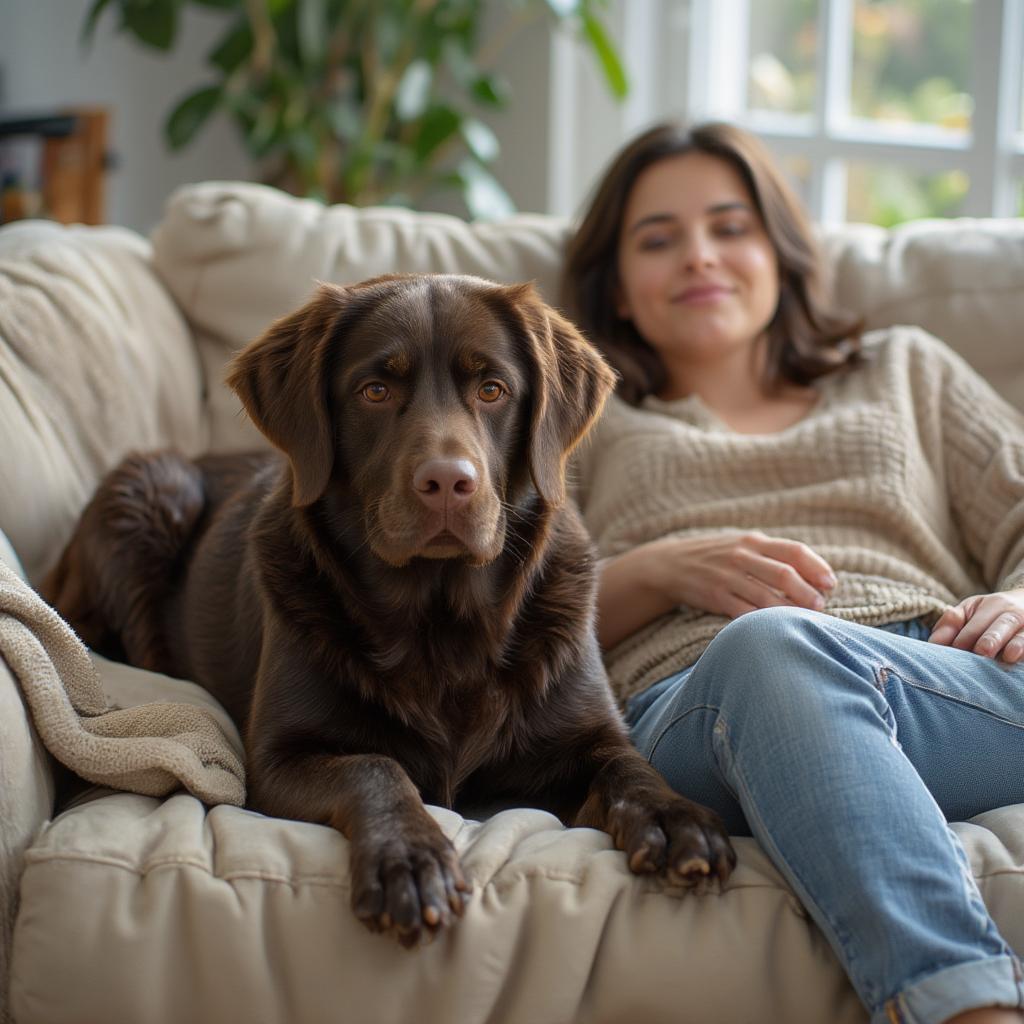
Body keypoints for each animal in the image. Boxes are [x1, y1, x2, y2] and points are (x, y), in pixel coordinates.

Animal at [46, 272, 737, 942]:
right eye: (375, 390)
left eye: (492, 389)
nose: (448, 482)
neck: (441, 621)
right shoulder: (273, 761)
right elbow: (375, 765)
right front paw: (409, 859)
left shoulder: (587, 734)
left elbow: (629, 765)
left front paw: (675, 818)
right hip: (148, 492)